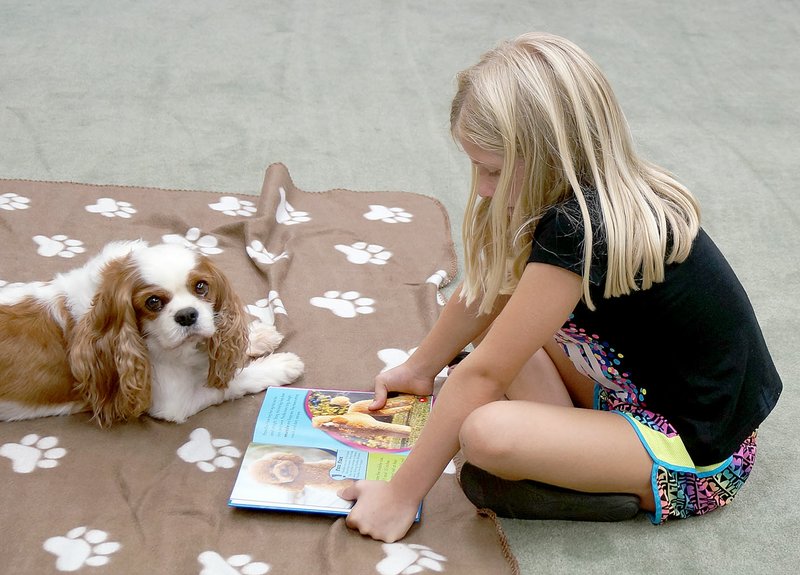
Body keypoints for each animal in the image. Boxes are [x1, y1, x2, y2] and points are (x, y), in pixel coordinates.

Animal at [0, 241, 304, 426]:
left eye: (201, 287)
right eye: (153, 302)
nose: (187, 315)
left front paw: (257, 336)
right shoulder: (173, 401)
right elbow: (231, 383)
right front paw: (280, 365)